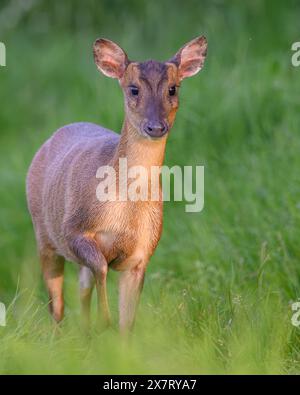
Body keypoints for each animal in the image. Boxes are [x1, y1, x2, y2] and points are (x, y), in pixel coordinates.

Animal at [27, 35, 207, 332]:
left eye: (173, 89)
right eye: (133, 89)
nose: (156, 127)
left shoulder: (142, 251)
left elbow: (128, 322)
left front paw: (111, 331)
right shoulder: (73, 228)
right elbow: (101, 267)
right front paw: (105, 320)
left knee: (82, 288)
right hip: (44, 236)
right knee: (57, 304)